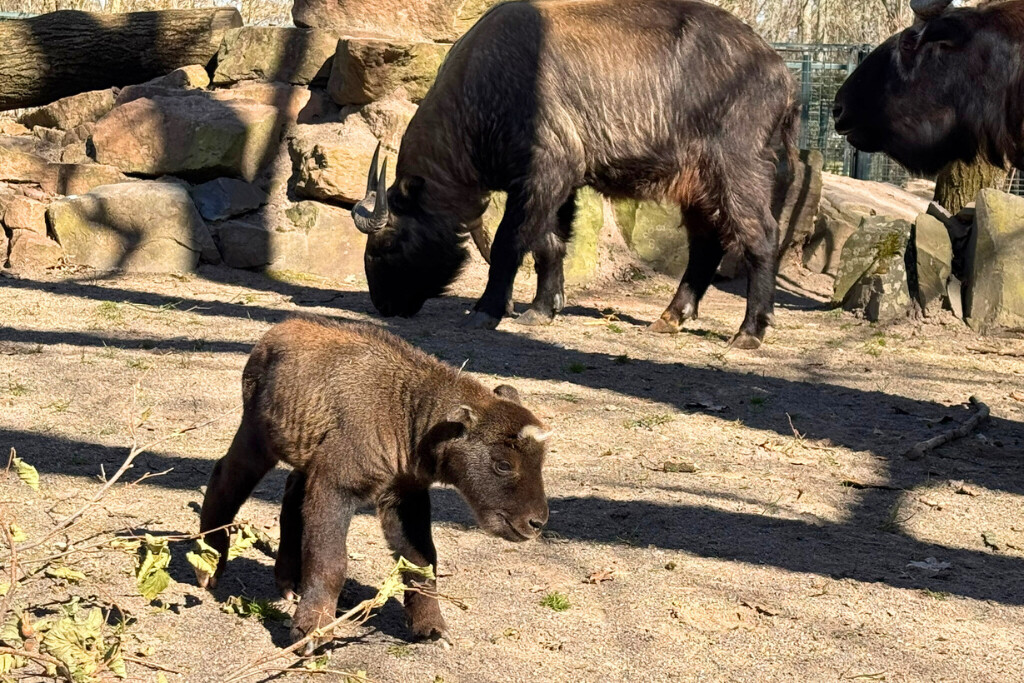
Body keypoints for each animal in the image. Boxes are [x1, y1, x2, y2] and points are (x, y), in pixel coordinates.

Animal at [198, 317, 552, 651]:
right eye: (503, 464)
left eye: (541, 462)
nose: (536, 522)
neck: (407, 413)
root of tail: (277, 332)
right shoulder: (336, 488)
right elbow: (330, 563)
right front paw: (312, 634)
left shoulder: (404, 494)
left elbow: (423, 561)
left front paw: (432, 629)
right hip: (257, 441)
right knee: (225, 480)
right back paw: (209, 567)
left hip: (305, 455)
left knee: (291, 492)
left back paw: (288, 583)